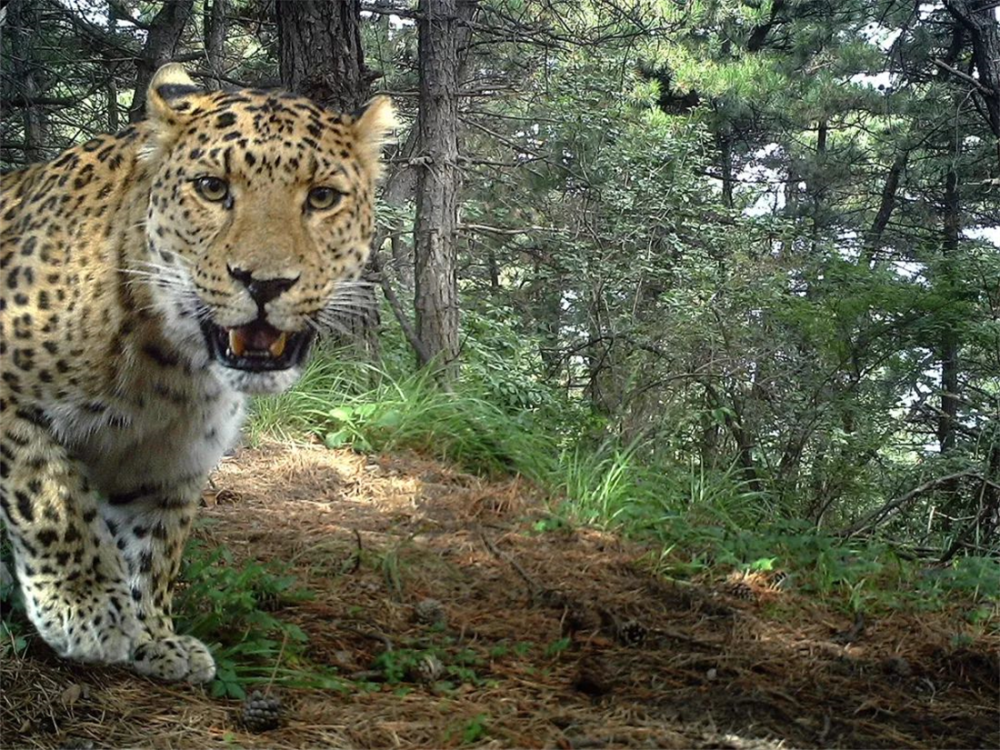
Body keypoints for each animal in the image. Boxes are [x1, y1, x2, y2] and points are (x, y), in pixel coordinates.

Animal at [0, 64, 398, 684]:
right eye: (212, 188)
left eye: (323, 197)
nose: (265, 282)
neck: (168, 367)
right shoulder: (11, 401)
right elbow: (50, 496)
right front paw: (84, 608)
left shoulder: (169, 462)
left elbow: (154, 548)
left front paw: (153, 637)